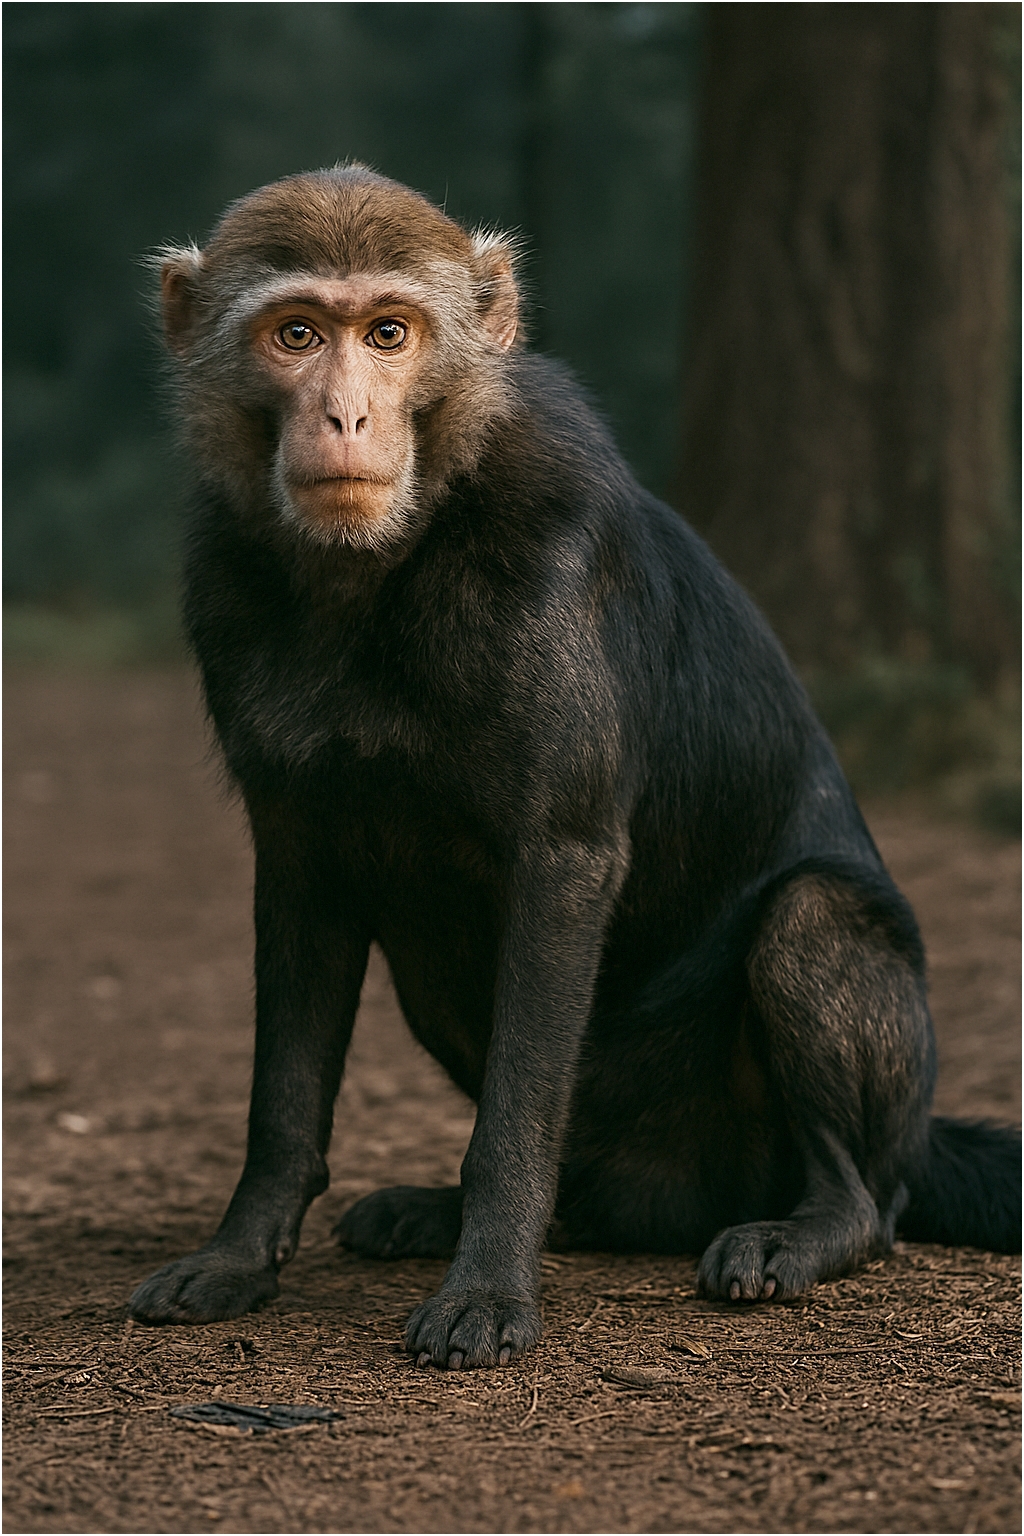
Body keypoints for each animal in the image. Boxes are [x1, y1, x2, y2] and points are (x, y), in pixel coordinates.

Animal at [128, 166, 1020, 1368]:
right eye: (297, 333)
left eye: (390, 333)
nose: (345, 415)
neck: (385, 565)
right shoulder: (231, 606)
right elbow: (299, 959)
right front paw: (238, 1254)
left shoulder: (547, 591)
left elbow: (562, 879)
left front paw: (489, 1283)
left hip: (819, 1112)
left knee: (814, 939)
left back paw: (812, 1223)